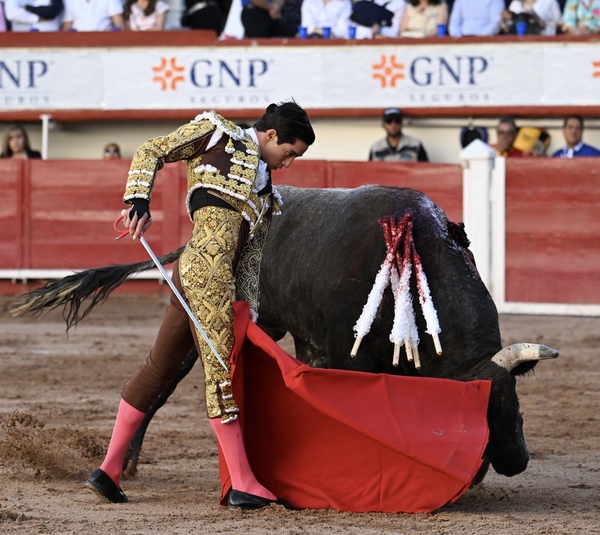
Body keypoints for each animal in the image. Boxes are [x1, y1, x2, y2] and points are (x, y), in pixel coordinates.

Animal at [10, 185, 558, 482]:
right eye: (491, 408)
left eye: (513, 402)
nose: (517, 461)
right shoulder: (349, 354)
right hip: (194, 324)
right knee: (159, 383)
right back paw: (126, 464)